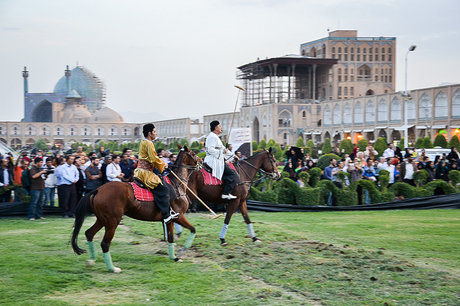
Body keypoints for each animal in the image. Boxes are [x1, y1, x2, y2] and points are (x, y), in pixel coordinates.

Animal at [71, 146, 200, 272]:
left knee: (89, 233)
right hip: (112, 222)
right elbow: (193, 229)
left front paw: (174, 257)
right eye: (193, 154)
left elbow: (171, 238)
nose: (201, 162)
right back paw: (113, 268)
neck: (176, 184)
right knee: (105, 243)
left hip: (102, 219)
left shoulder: (170, 220)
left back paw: (91, 261)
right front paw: (181, 251)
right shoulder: (179, 216)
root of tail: (98, 190)